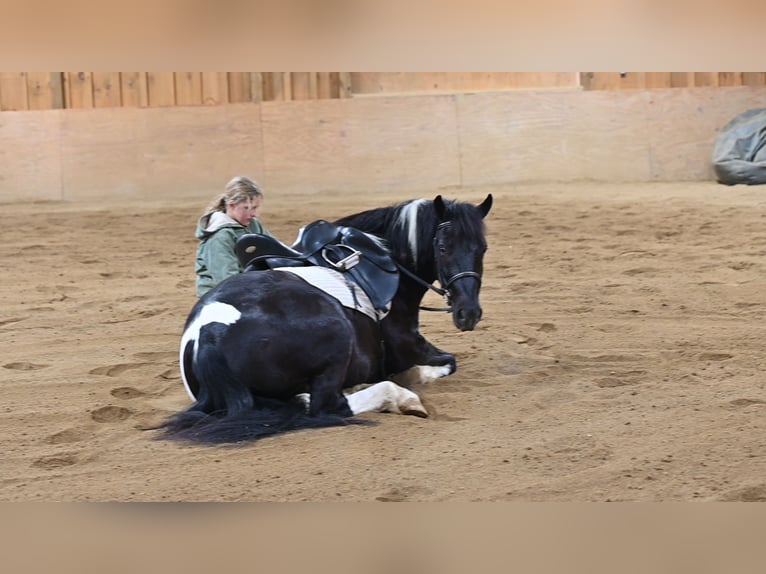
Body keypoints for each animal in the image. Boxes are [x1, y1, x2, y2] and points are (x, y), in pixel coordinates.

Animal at [156, 195, 492, 446]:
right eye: (443, 248)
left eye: (483, 248)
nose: (468, 313)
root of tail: (209, 333)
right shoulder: (411, 345)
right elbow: (446, 363)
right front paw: (411, 379)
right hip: (337, 336)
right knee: (325, 406)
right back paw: (401, 398)